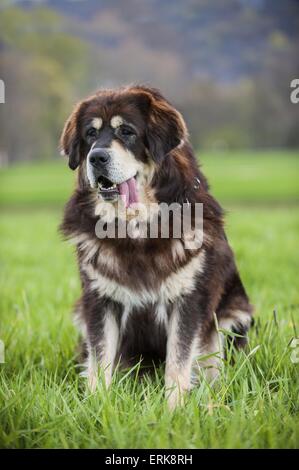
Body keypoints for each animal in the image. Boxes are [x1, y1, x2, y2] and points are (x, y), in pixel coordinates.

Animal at [60, 86, 253, 410]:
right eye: (90, 134)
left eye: (127, 132)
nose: (96, 157)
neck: (138, 229)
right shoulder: (99, 301)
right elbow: (100, 359)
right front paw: (97, 405)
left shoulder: (189, 299)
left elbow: (178, 361)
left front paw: (175, 409)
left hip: (232, 315)